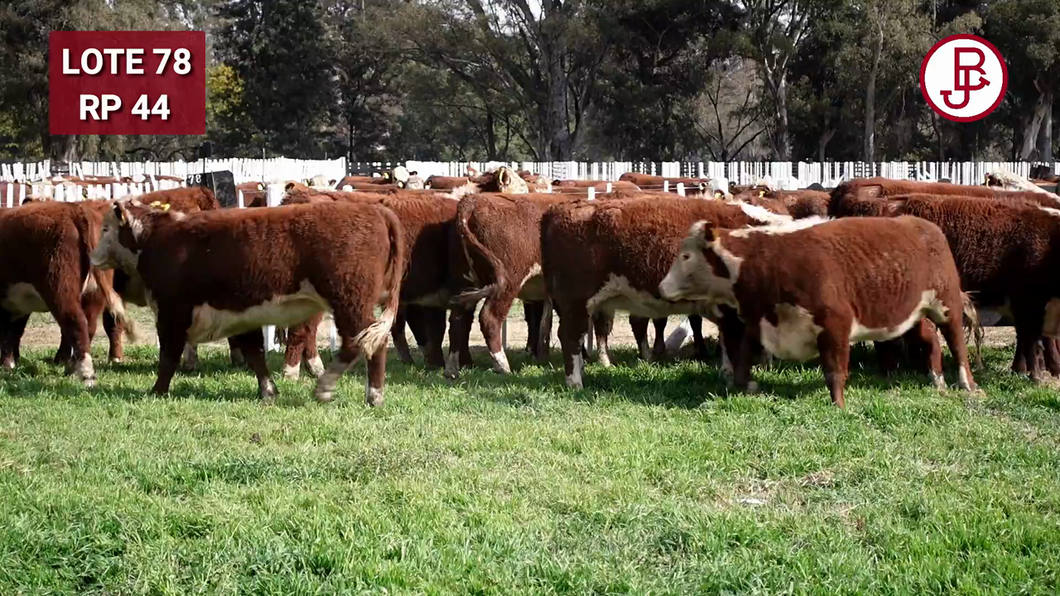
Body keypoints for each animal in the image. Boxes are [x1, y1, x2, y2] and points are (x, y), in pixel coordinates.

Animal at [90, 199, 404, 402]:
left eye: (105, 228)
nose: (92, 256)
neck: (157, 238)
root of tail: (374, 209)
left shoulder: (172, 313)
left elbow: (168, 356)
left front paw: (157, 390)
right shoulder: (240, 316)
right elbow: (255, 355)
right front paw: (268, 392)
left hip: (350, 301)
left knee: (366, 342)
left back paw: (350, 391)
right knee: (364, 342)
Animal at [661, 215, 975, 405]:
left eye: (686, 256)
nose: (663, 287)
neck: (766, 261)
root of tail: (922, 224)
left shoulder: (835, 324)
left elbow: (835, 371)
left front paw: (839, 405)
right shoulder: (758, 321)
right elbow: (742, 359)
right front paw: (747, 386)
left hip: (947, 303)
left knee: (956, 342)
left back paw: (968, 385)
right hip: (913, 314)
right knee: (931, 340)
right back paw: (937, 381)